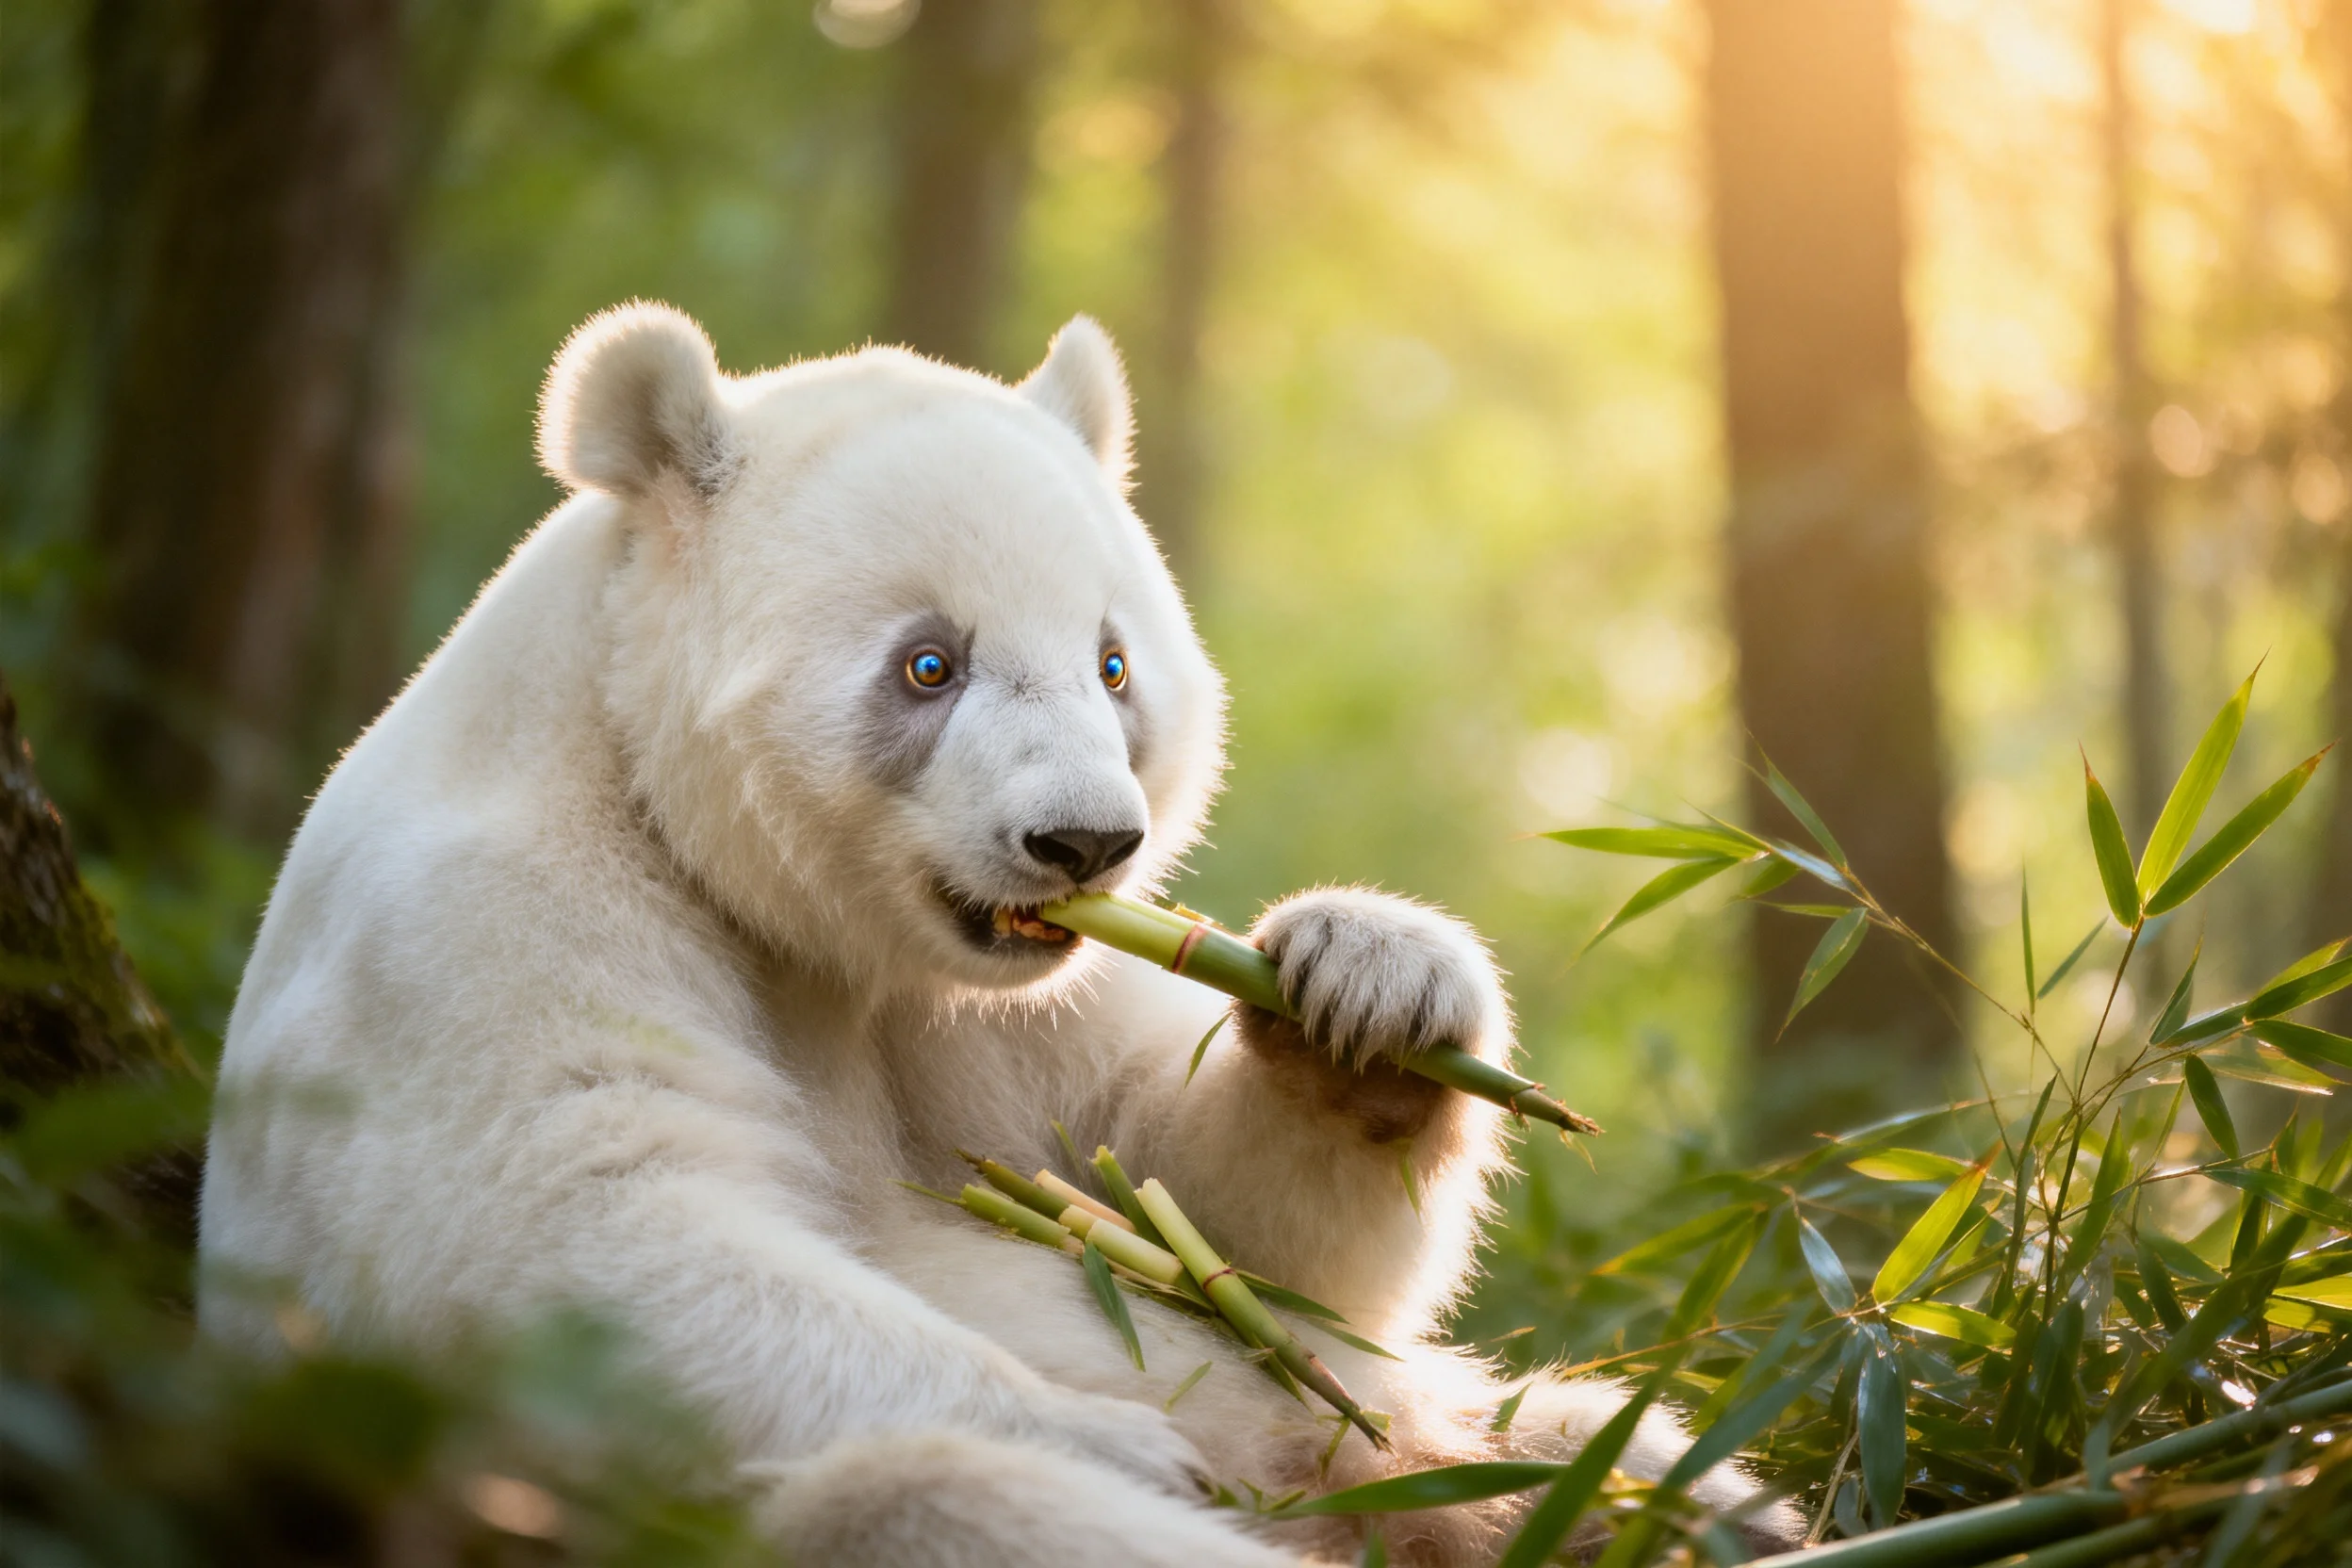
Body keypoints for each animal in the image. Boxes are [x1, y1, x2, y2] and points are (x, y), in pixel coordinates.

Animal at [197, 303, 1802, 1566]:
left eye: (1113, 664)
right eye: (929, 665)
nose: (1084, 844)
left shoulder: (1006, 1007)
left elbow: (1210, 1214)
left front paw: (1371, 997)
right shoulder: (480, 936)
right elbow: (570, 1243)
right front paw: (1126, 1445)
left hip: (1455, 1426)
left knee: (1559, 1434)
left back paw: (1698, 1511)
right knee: (927, 1502)